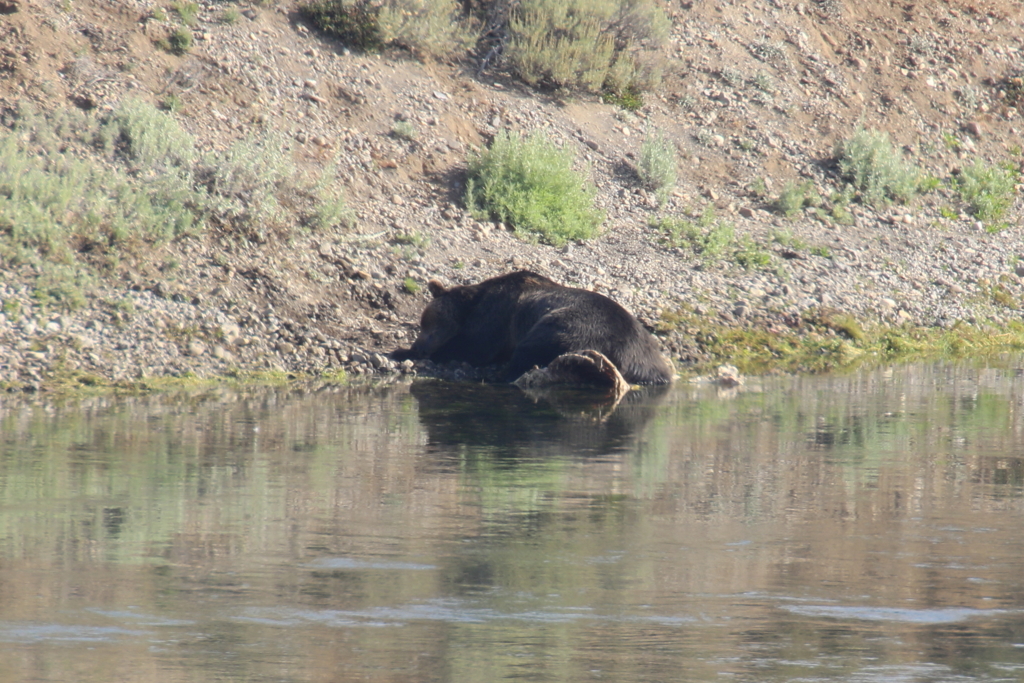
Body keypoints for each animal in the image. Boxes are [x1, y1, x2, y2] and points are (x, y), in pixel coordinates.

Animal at [389, 270, 671, 385]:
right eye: (423, 323)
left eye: (431, 325)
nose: (420, 346)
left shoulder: (497, 316)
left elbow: (473, 347)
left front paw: (399, 351)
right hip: (649, 358)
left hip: (570, 329)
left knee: (529, 350)